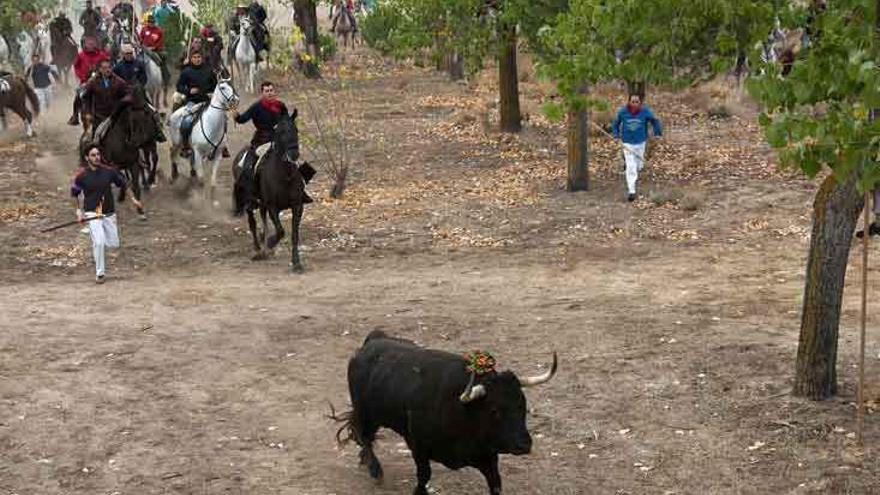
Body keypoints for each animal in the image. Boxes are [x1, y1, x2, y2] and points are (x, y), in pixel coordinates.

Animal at [232, 108, 314, 274]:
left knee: (263, 222)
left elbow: (294, 235)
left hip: (263, 205)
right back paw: (259, 249)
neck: (285, 175)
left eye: (296, 130)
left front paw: (296, 263)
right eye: (280, 131)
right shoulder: (272, 206)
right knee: (252, 223)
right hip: (250, 202)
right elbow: (281, 231)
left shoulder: (297, 206)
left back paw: (264, 245)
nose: (294, 154)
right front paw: (269, 243)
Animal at [336, 334, 556, 495]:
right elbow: (423, 477)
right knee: (363, 436)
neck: (462, 411)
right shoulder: (417, 446)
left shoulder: (488, 456)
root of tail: (372, 341)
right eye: (495, 410)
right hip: (366, 413)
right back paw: (375, 470)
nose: (524, 445)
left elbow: (496, 483)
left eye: (522, 405)